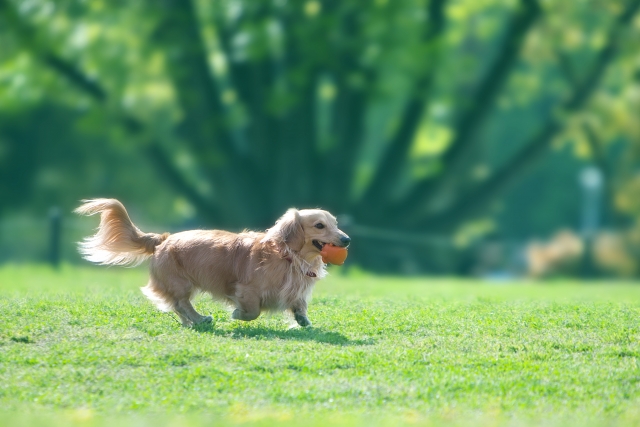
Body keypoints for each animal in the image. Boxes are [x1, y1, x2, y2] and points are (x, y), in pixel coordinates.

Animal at [77, 200, 352, 328]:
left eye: (336, 224)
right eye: (319, 225)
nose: (347, 240)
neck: (288, 256)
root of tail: (162, 240)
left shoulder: (295, 291)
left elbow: (299, 306)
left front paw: (303, 320)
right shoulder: (247, 290)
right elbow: (252, 311)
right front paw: (237, 314)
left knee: (177, 306)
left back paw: (192, 322)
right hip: (181, 283)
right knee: (181, 303)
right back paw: (199, 319)